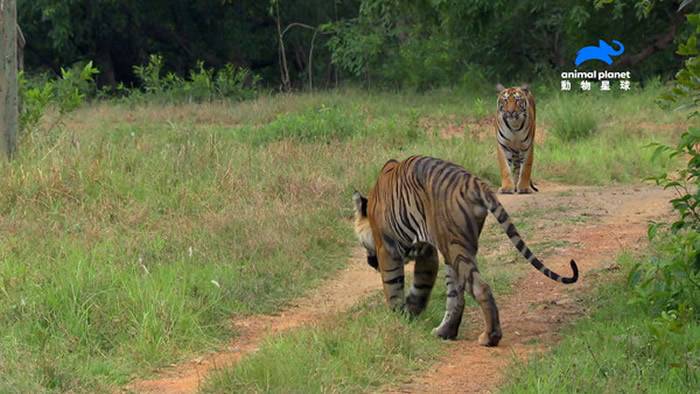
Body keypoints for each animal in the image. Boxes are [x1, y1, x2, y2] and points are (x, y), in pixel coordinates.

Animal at [352, 155, 576, 346]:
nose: (369, 262)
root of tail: (475, 182)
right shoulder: (428, 252)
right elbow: (422, 285)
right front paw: (411, 311)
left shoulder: (387, 249)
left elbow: (392, 286)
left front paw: (398, 316)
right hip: (453, 249)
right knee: (456, 297)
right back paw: (445, 332)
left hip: (454, 247)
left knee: (480, 288)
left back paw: (489, 338)